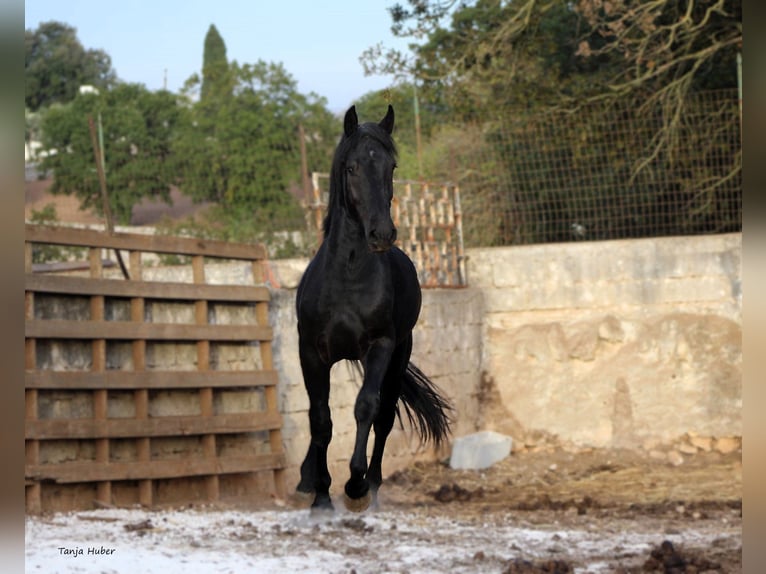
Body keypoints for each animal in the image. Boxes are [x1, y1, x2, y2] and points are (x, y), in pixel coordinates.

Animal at [294, 103, 450, 512]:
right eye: (352, 167)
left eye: (390, 167)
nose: (382, 233)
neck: (347, 276)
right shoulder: (311, 352)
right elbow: (320, 418)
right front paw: (320, 495)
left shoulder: (380, 346)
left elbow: (366, 407)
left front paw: (354, 484)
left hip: (397, 355)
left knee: (384, 417)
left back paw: (372, 488)